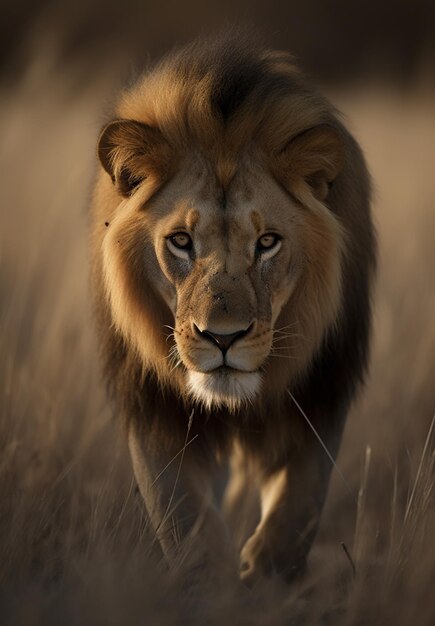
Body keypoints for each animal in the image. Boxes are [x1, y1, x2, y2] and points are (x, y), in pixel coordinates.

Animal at [91, 35, 378, 584]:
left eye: (267, 242)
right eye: (181, 241)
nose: (222, 338)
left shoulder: (321, 396)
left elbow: (295, 512)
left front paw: (263, 576)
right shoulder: (155, 409)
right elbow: (182, 520)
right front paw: (212, 578)